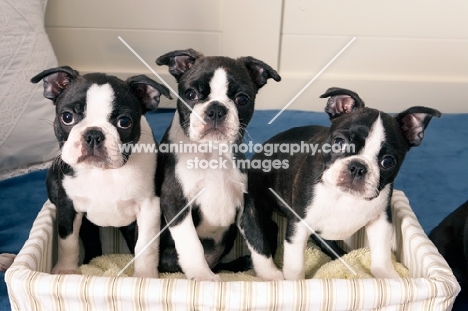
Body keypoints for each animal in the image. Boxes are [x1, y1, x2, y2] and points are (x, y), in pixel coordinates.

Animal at [32, 66, 172, 278]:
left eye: (124, 122)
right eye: (67, 117)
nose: (93, 134)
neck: (103, 172)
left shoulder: (149, 206)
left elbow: (145, 246)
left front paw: (145, 276)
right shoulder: (67, 204)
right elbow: (67, 240)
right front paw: (65, 270)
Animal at [154, 48, 282, 282]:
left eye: (242, 99)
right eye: (191, 95)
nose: (216, 109)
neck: (211, 152)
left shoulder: (247, 203)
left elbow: (258, 241)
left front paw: (270, 274)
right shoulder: (176, 201)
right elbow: (191, 243)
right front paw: (202, 275)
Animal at [245, 87, 442, 280]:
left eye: (388, 162)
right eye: (339, 142)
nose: (358, 167)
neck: (344, 196)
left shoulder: (381, 220)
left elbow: (382, 253)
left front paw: (389, 276)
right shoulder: (299, 225)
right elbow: (296, 265)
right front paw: (295, 283)